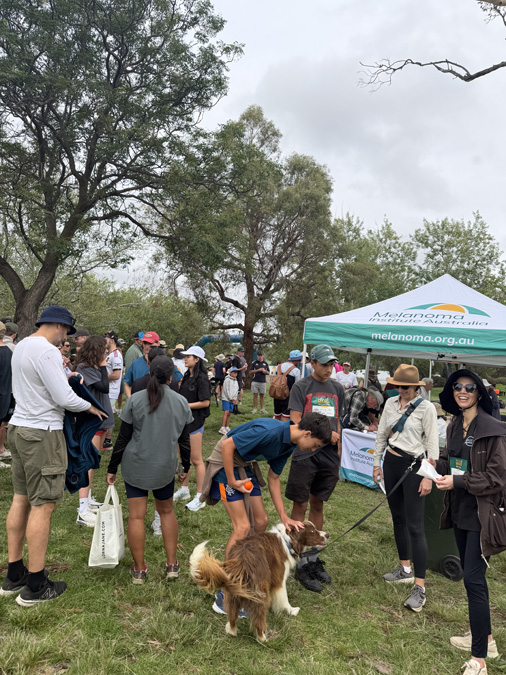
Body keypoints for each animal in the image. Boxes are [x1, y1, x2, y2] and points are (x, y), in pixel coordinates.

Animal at [189, 520, 329, 642]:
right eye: (312, 531)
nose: (327, 535)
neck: (287, 540)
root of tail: (241, 561)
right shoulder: (279, 579)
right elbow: (284, 598)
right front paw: (290, 610)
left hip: (234, 594)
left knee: (232, 614)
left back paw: (232, 631)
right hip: (261, 593)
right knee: (258, 619)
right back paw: (263, 638)